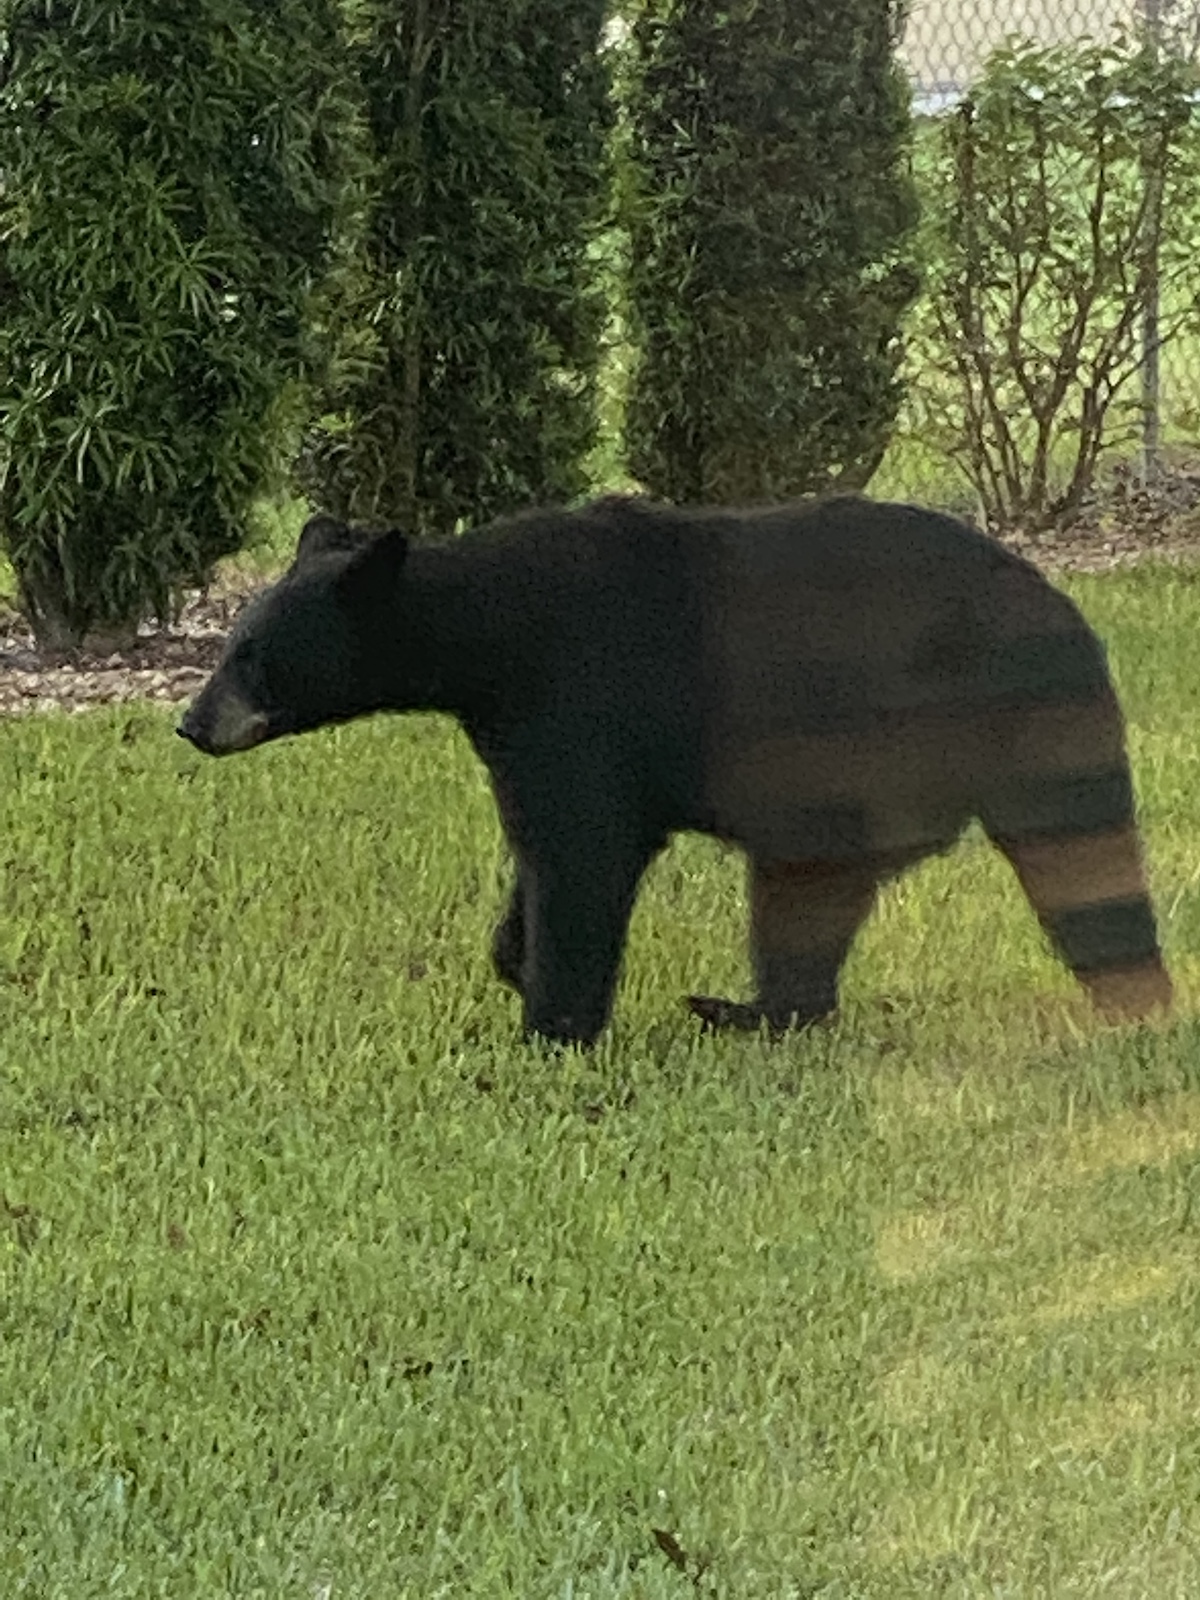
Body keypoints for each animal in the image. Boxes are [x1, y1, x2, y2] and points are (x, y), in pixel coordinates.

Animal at [178, 494, 1173, 1046]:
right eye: (228, 644)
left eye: (253, 656)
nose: (191, 723)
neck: (491, 640)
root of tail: (1067, 616)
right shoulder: (522, 729)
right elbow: (545, 846)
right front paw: (513, 958)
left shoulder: (579, 701)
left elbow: (581, 855)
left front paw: (552, 1025)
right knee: (814, 896)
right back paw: (747, 1011)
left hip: (987, 729)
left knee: (1077, 860)